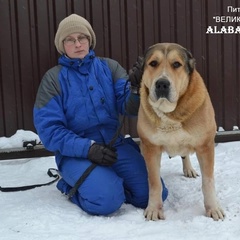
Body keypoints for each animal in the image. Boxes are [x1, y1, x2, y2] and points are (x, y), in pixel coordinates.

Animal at [137, 42, 225, 221]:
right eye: (153, 63)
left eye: (176, 64)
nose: (162, 84)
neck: (170, 113)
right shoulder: (150, 147)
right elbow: (154, 182)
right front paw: (154, 209)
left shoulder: (205, 145)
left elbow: (208, 181)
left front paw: (213, 208)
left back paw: (189, 169)